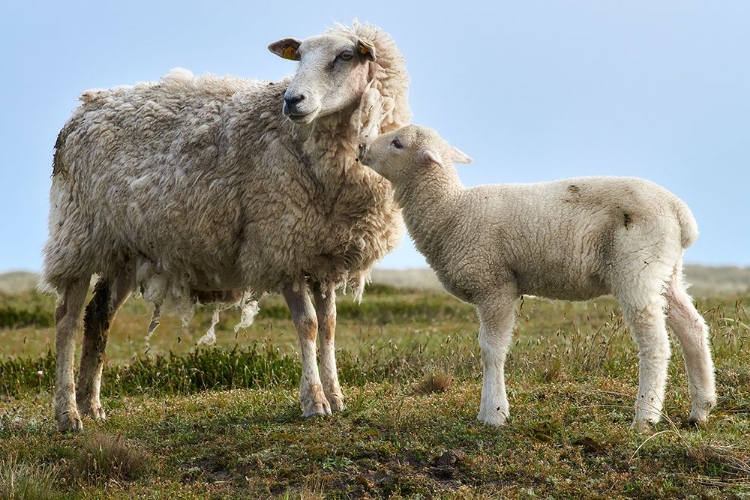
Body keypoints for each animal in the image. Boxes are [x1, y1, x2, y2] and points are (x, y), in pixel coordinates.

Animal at [41, 21, 412, 432]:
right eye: (298, 57)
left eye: (345, 56)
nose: (292, 100)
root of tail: (82, 110)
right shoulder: (278, 244)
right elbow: (308, 325)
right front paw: (314, 401)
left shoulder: (320, 253)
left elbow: (329, 325)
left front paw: (336, 396)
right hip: (76, 235)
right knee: (66, 319)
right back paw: (67, 414)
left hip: (123, 248)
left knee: (98, 317)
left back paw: (91, 406)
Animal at [362, 124, 720, 430]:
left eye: (398, 143)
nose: (362, 147)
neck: (450, 211)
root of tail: (680, 214)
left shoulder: (494, 286)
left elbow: (491, 349)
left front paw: (493, 413)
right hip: (665, 270)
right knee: (692, 327)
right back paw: (700, 408)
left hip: (636, 268)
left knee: (655, 343)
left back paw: (645, 416)